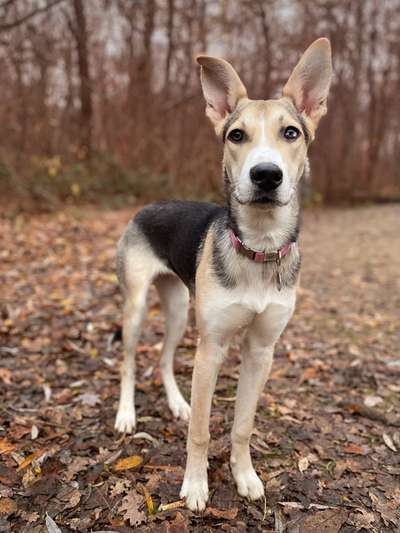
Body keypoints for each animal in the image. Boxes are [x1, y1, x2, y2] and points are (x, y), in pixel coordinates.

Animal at [115, 39, 332, 510]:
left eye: (292, 133)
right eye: (236, 135)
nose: (266, 175)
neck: (259, 250)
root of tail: (148, 205)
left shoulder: (261, 351)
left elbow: (242, 425)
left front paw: (245, 476)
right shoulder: (212, 347)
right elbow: (200, 430)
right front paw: (196, 486)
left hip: (180, 309)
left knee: (164, 357)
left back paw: (176, 403)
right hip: (137, 306)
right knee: (127, 361)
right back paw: (125, 414)